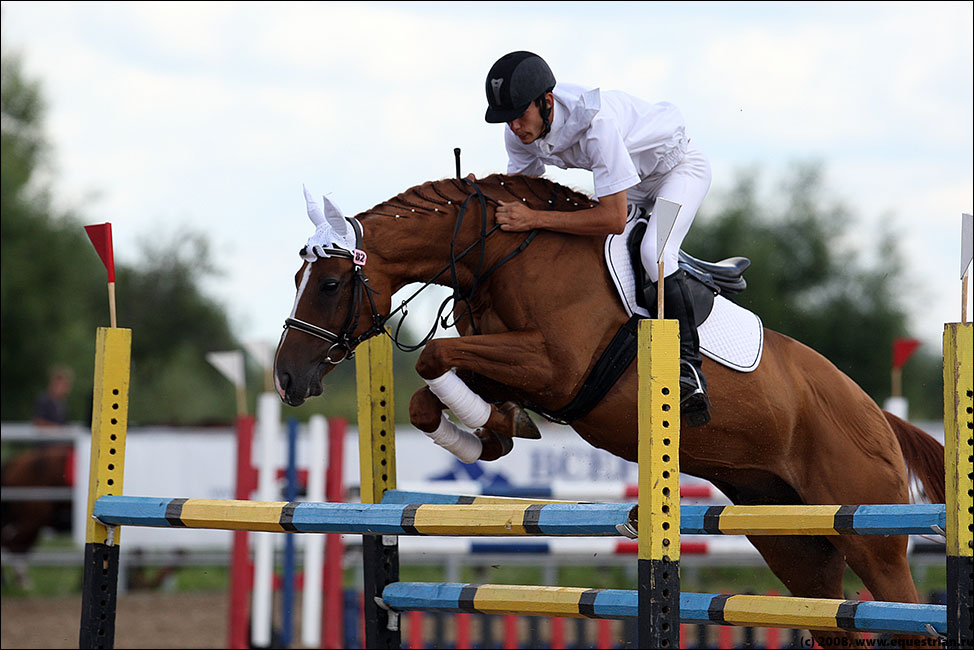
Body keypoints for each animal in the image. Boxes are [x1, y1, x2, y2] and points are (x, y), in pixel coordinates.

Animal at [272, 171, 944, 644]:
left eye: (328, 284)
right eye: (297, 280)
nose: (286, 378)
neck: (503, 258)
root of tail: (877, 416)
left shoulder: (554, 368)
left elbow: (433, 356)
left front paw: (490, 432)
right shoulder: (511, 364)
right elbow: (425, 390)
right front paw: (489, 435)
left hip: (871, 538)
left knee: (911, 615)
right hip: (793, 542)